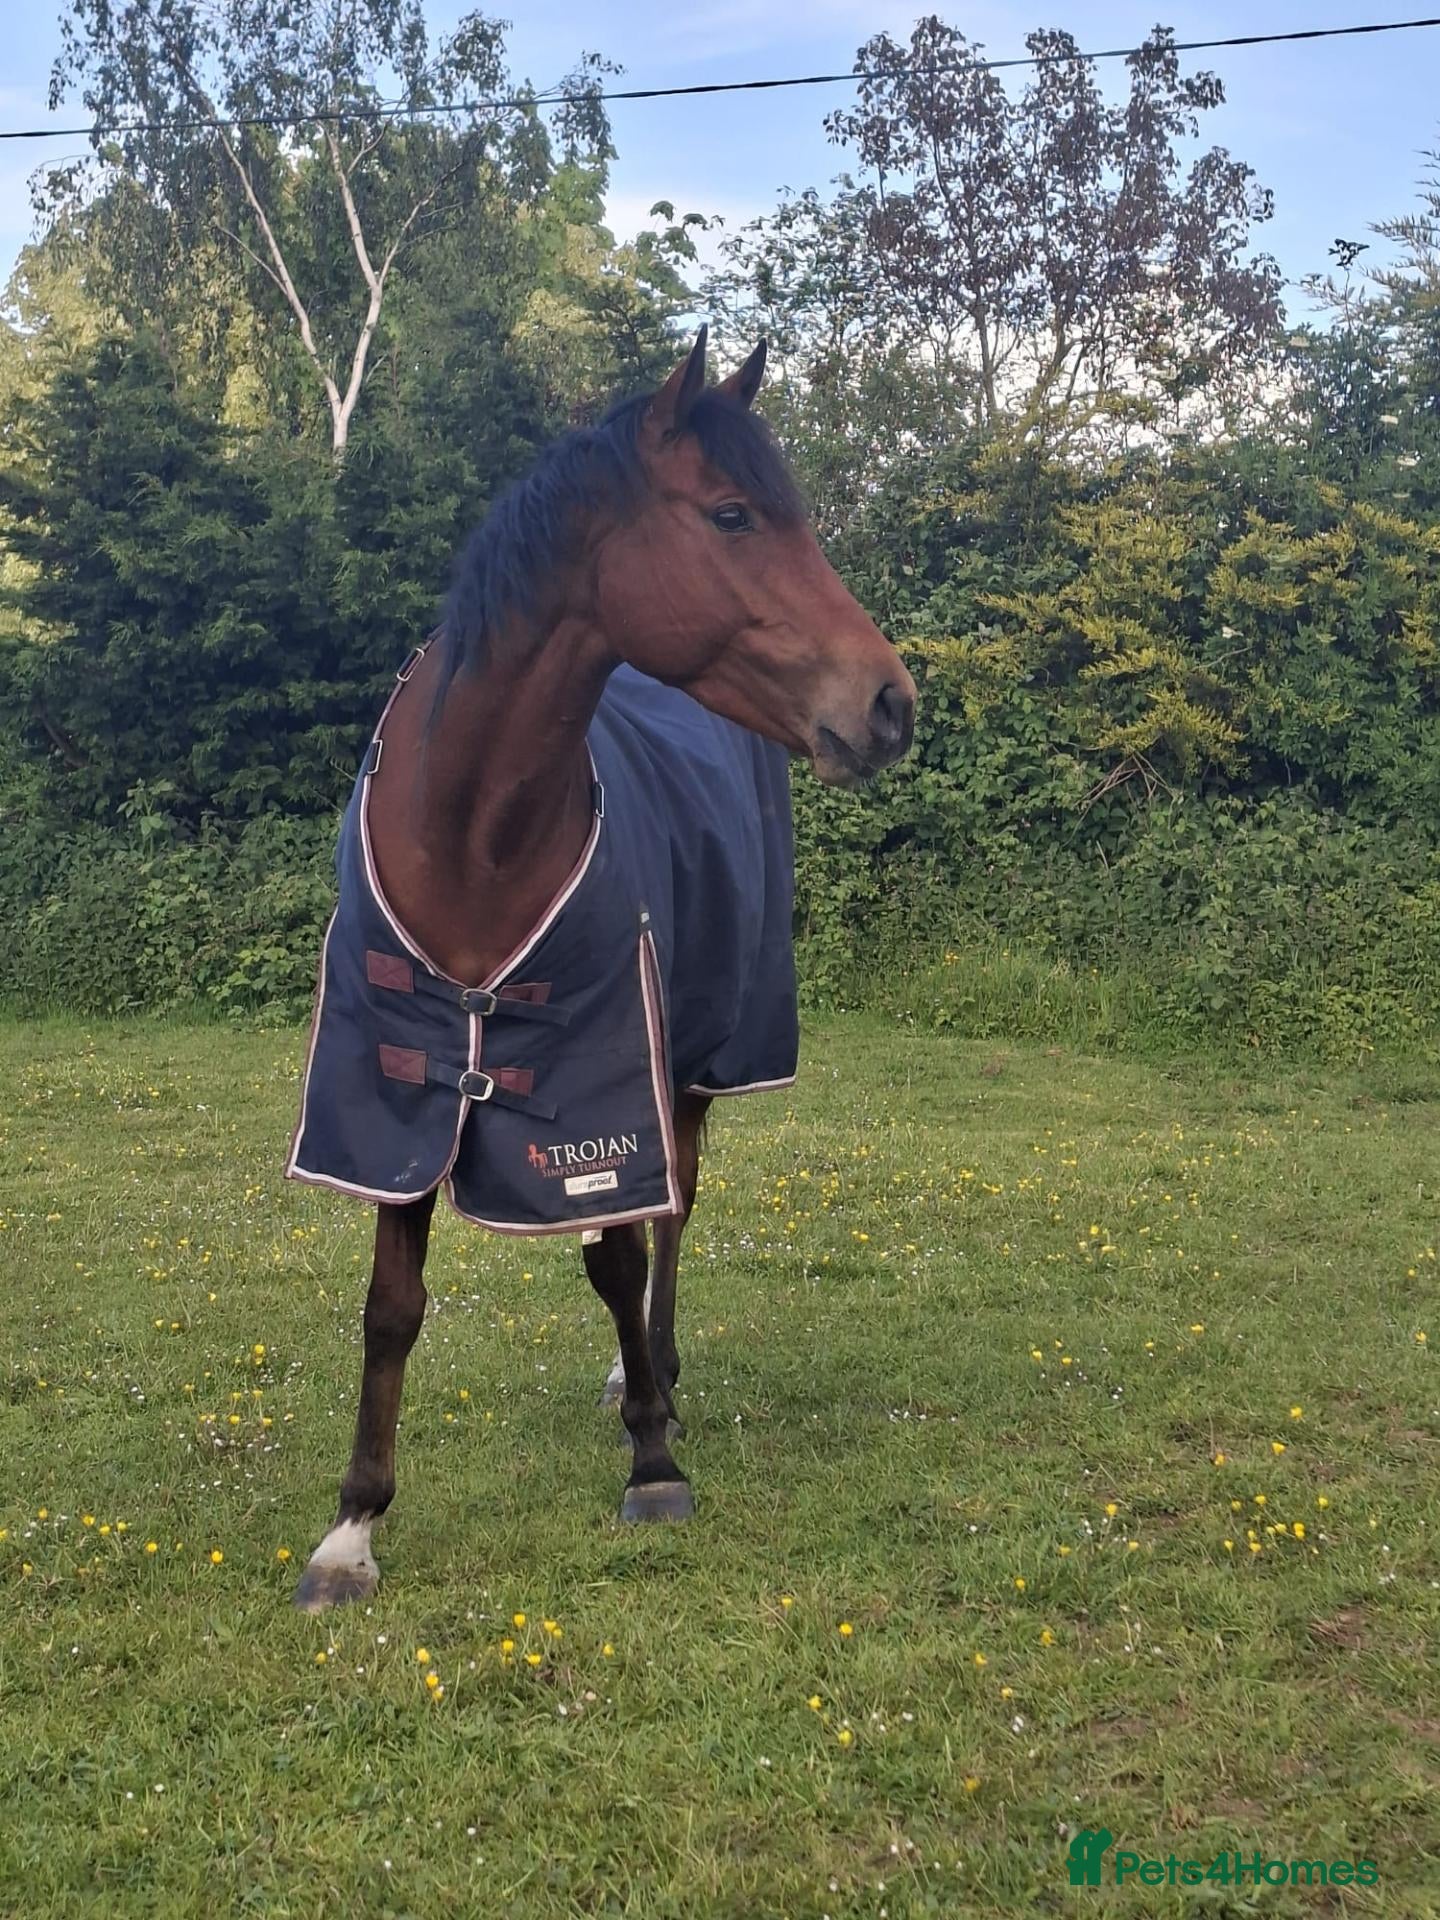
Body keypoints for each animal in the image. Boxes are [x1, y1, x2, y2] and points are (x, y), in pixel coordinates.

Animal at [285, 328, 916, 1612]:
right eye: (732, 514)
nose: (891, 702)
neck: (469, 831)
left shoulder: (604, 1069)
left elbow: (621, 1253)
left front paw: (655, 1463)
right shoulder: (397, 1085)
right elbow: (391, 1307)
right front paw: (353, 1526)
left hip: (701, 1044)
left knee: (674, 1213)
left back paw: (652, 1374)